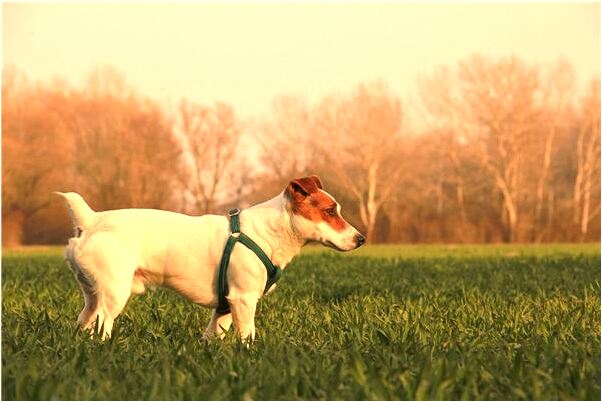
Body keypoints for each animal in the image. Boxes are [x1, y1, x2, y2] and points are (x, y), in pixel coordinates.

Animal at [56, 174, 364, 340]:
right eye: (330, 211)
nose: (361, 239)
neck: (268, 232)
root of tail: (93, 220)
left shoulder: (225, 307)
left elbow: (213, 334)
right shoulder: (243, 299)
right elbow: (247, 335)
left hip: (92, 295)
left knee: (84, 321)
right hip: (114, 295)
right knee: (102, 325)